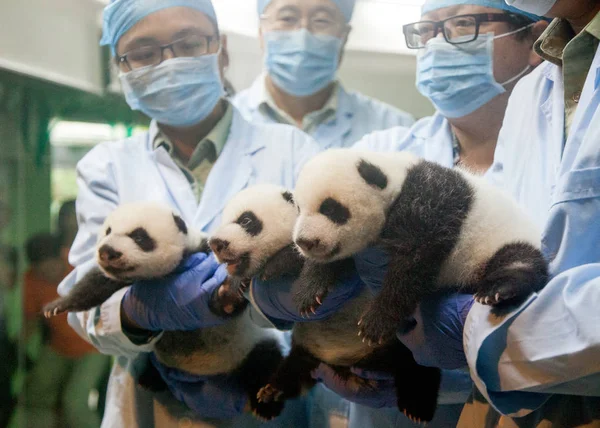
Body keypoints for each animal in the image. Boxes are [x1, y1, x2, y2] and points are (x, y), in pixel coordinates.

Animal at [42, 201, 286, 422]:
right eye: (108, 231)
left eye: (139, 236)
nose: (107, 251)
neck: (160, 275)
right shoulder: (119, 279)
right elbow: (93, 284)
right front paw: (57, 306)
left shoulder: (201, 250)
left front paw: (228, 294)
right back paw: (150, 378)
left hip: (249, 345)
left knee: (264, 362)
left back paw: (265, 404)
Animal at [209, 185, 442, 424]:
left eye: (246, 220)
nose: (215, 244)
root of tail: (351, 365)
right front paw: (230, 290)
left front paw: (276, 266)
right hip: (307, 350)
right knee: (294, 371)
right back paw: (272, 392)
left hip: (394, 343)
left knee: (418, 365)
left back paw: (416, 407)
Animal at [292, 149, 552, 346]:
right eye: (299, 208)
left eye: (331, 209)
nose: (305, 241)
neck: (396, 181)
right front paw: (309, 293)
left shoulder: (428, 203)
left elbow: (414, 261)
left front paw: (376, 322)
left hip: (506, 238)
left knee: (518, 260)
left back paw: (498, 289)